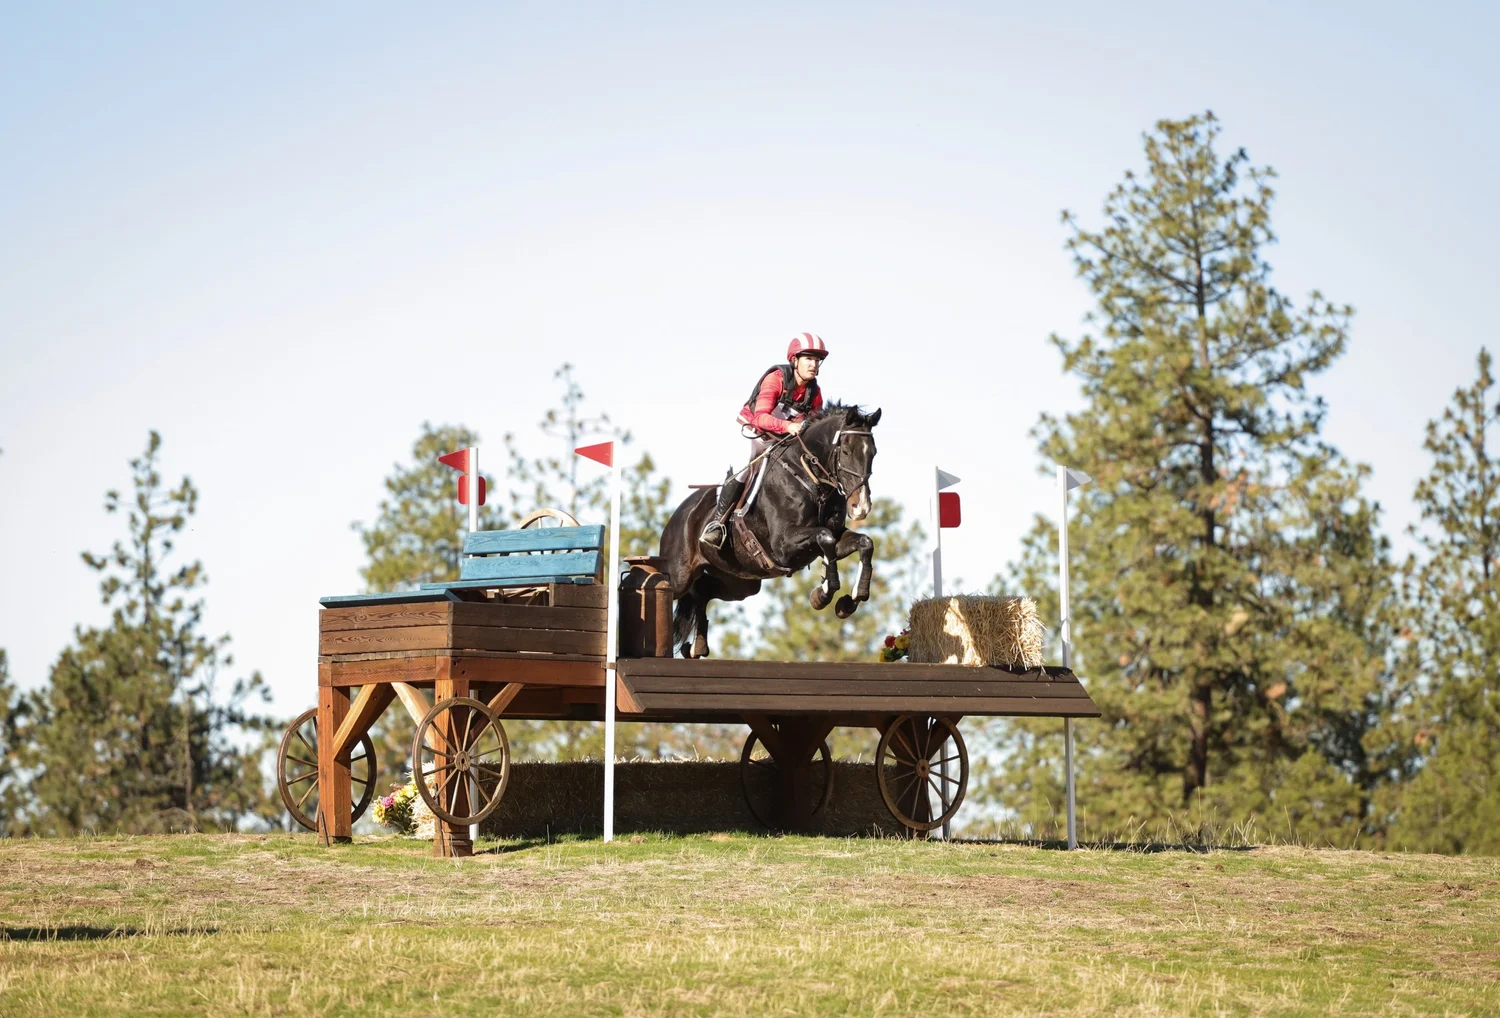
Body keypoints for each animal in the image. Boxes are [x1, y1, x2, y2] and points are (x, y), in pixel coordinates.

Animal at [658, 403, 882, 658]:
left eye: (873, 453)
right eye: (845, 451)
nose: (861, 507)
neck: (810, 478)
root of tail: (679, 513)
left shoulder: (831, 537)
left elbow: (863, 543)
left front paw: (851, 599)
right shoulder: (783, 544)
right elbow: (823, 538)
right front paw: (822, 594)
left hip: (740, 581)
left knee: (701, 591)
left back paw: (697, 646)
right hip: (679, 575)